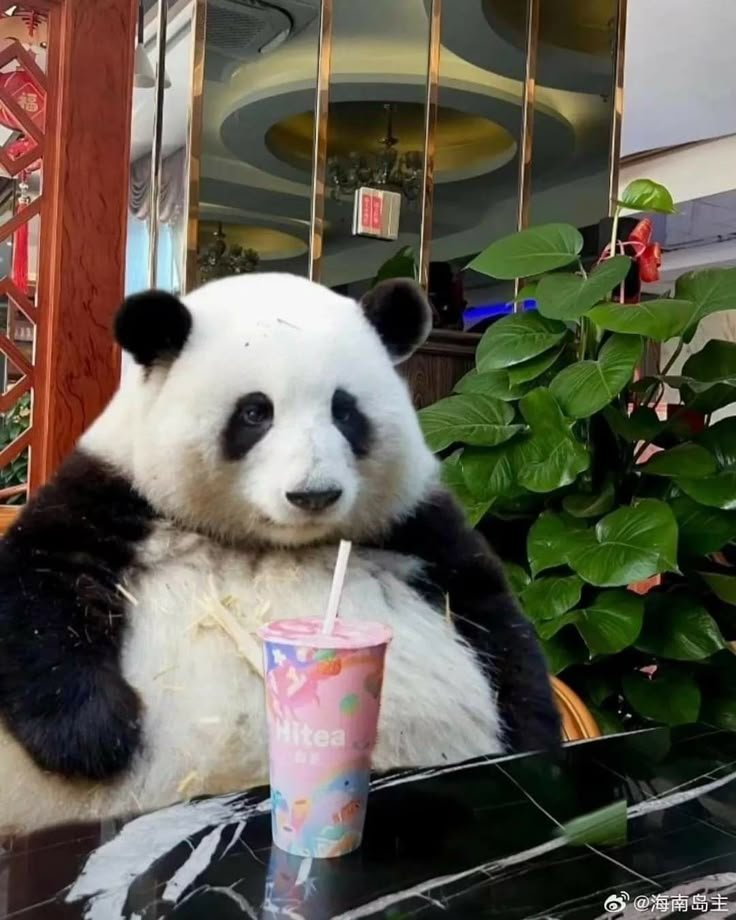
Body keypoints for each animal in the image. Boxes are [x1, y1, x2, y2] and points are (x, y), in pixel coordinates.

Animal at [0, 273, 559, 833]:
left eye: (344, 410)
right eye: (255, 412)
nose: (315, 494)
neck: (266, 540)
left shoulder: (415, 526)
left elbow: (494, 624)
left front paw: (535, 751)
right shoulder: (113, 497)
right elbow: (37, 590)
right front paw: (95, 737)